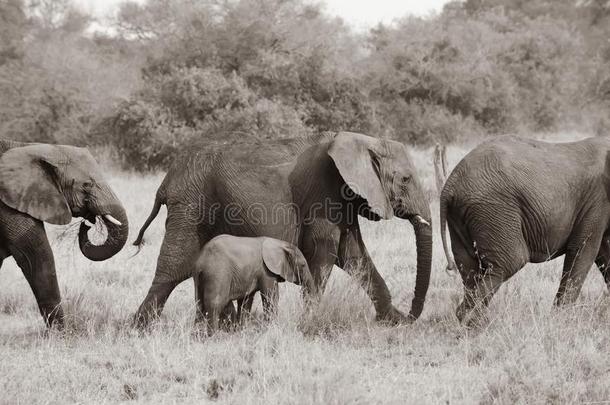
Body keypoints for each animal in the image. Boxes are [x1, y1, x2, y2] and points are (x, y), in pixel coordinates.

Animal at [0, 140, 128, 326]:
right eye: (86, 185)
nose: (88, 223)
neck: (29, 147)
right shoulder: (7, 205)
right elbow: (37, 255)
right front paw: (60, 332)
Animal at [436, 136, 608, 326]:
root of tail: (451, 183)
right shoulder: (597, 201)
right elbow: (583, 250)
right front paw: (561, 320)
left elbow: (603, 253)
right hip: (493, 208)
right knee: (509, 262)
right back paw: (475, 322)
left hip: (461, 215)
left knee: (469, 267)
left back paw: (474, 322)